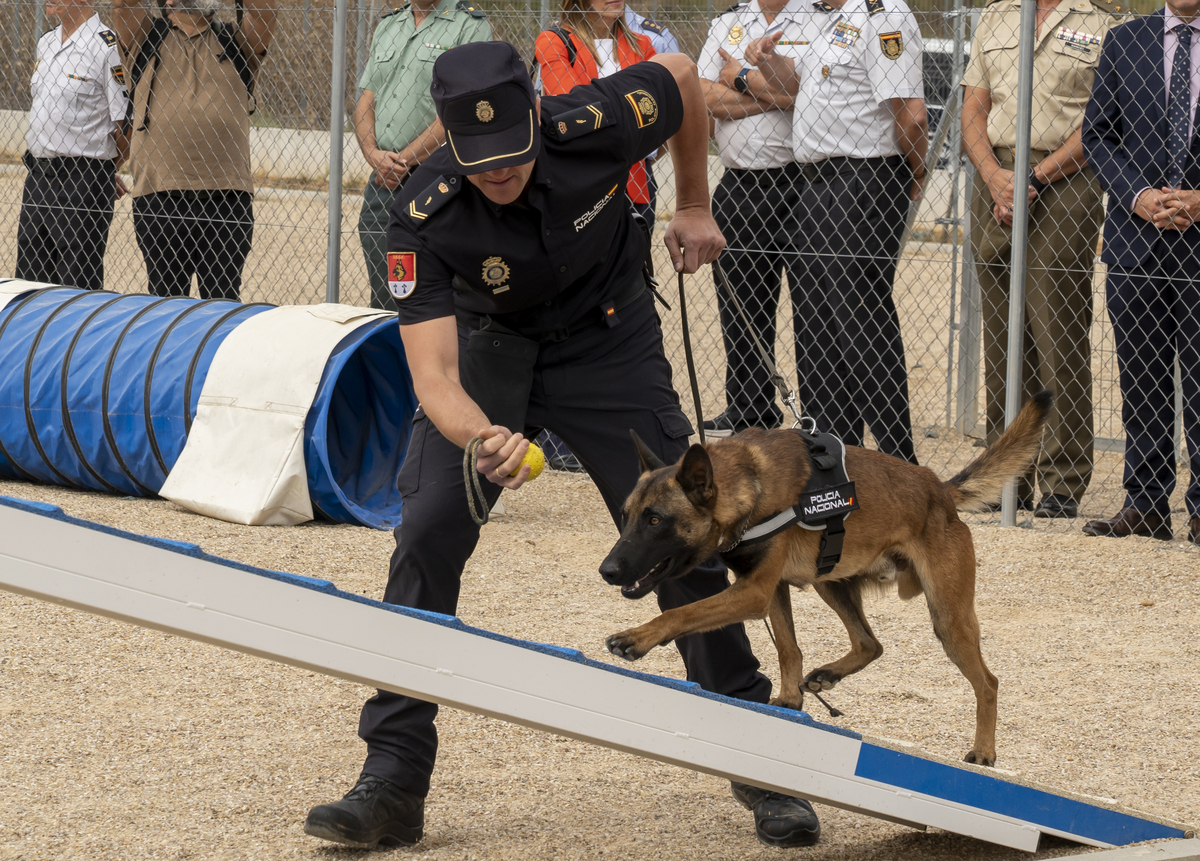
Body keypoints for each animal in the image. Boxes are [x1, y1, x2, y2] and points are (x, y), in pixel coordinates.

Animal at [600, 393, 1051, 767]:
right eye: (626, 515)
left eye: (655, 520)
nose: (607, 570)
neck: (748, 487)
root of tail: (938, 489)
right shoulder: (770, 588)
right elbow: (788, 649)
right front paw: (789, 700)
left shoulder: (754, 591)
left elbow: (682, 612)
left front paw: (636, 637)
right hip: (829, 580)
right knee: (870, 643)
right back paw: (827, 676)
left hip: (948, 619)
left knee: (988, 683)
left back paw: (984, 751)